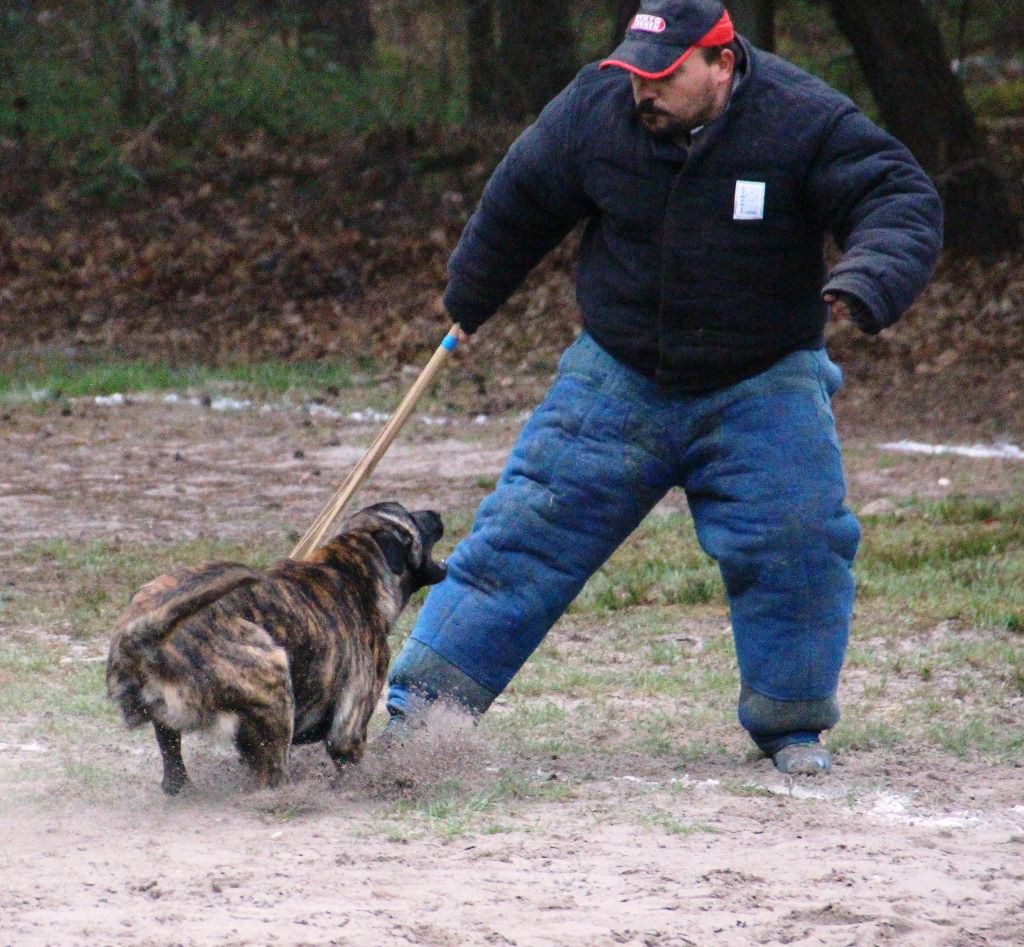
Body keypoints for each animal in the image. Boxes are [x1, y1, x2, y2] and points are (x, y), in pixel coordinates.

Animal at [105, 499, 446, 794]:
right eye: (411, 520)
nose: (436, 513)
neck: (350, 569)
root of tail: (140, 635)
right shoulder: (348, 729)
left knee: (173, 761)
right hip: (275, 682)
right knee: (272, 777)